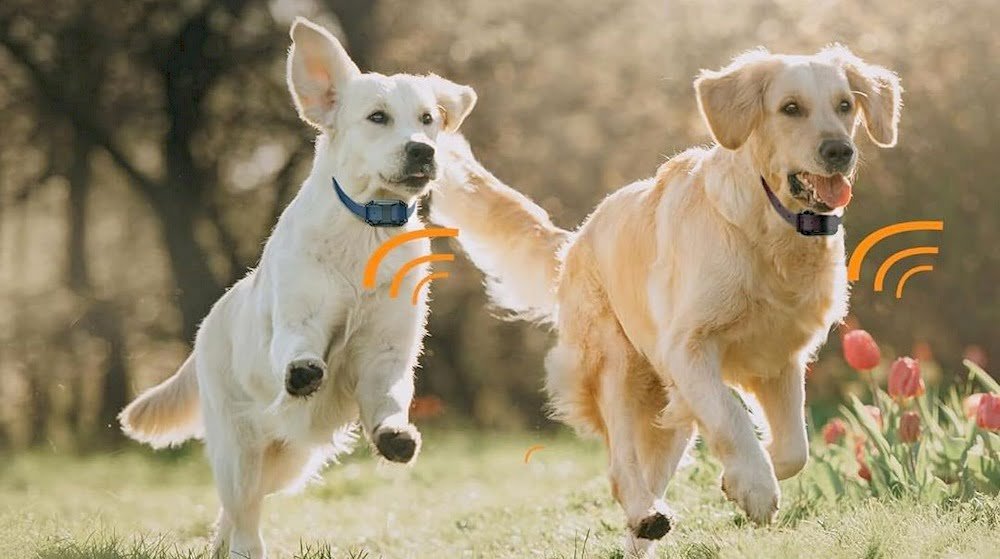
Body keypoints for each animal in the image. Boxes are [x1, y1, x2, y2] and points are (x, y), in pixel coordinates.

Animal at [117, 17, 476, 559]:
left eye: (428, 118)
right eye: (377, 117)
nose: (423, 150)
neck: (367, 226)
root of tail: (206, 327)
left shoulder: (388, 349)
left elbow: (391, 394)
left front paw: (395, 434)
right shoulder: (298, 317)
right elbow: (299, 345)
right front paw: (304, 371)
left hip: (288, 462)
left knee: (236, 512)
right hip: (240, 450)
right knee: (244, 514)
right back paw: (242, 549)